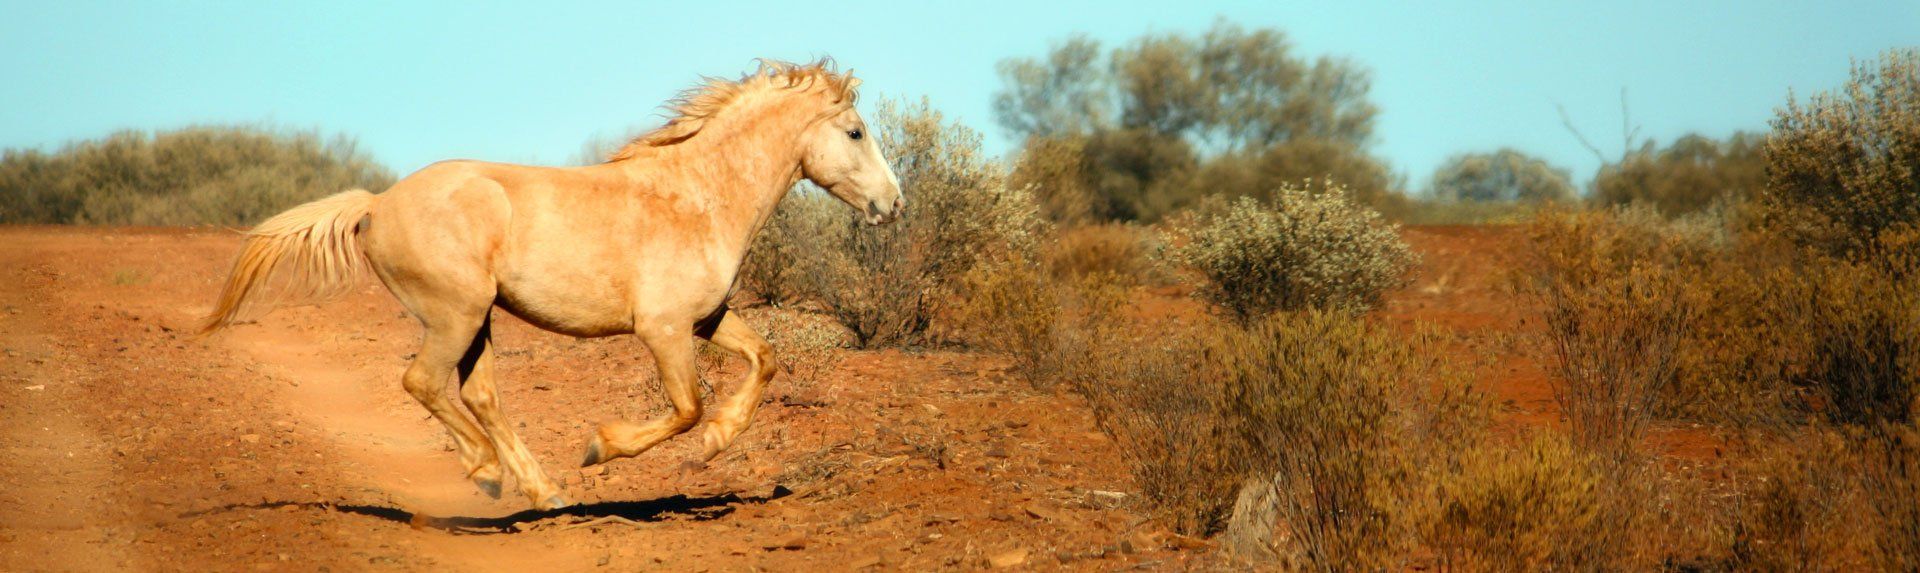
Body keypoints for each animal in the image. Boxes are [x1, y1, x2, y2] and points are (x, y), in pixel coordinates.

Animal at [198, 60, 904, 510]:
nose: (893, 204)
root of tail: (377, 203)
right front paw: (602, 448)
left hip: (479, 319)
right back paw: (487, 474)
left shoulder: (707, 318)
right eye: (855, 132)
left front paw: (711, 449)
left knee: (480, 396)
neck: (698, 196)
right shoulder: (664, 328)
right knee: (424, 383)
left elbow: (766, 360)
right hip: (456, 314)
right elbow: (686, 407)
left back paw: (544, 493)